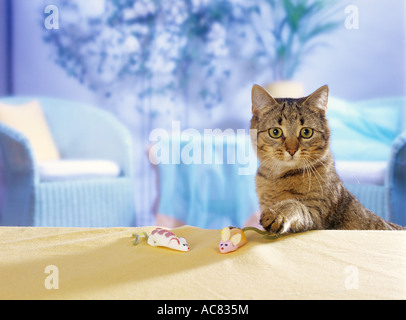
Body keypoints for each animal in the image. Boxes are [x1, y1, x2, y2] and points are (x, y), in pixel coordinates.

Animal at [249, 84, 404, 232]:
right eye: (275, 132)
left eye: (306, 132)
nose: (292, 150)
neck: (279, 177)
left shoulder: (317, 215)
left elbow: (295, 204)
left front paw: (277, 212)